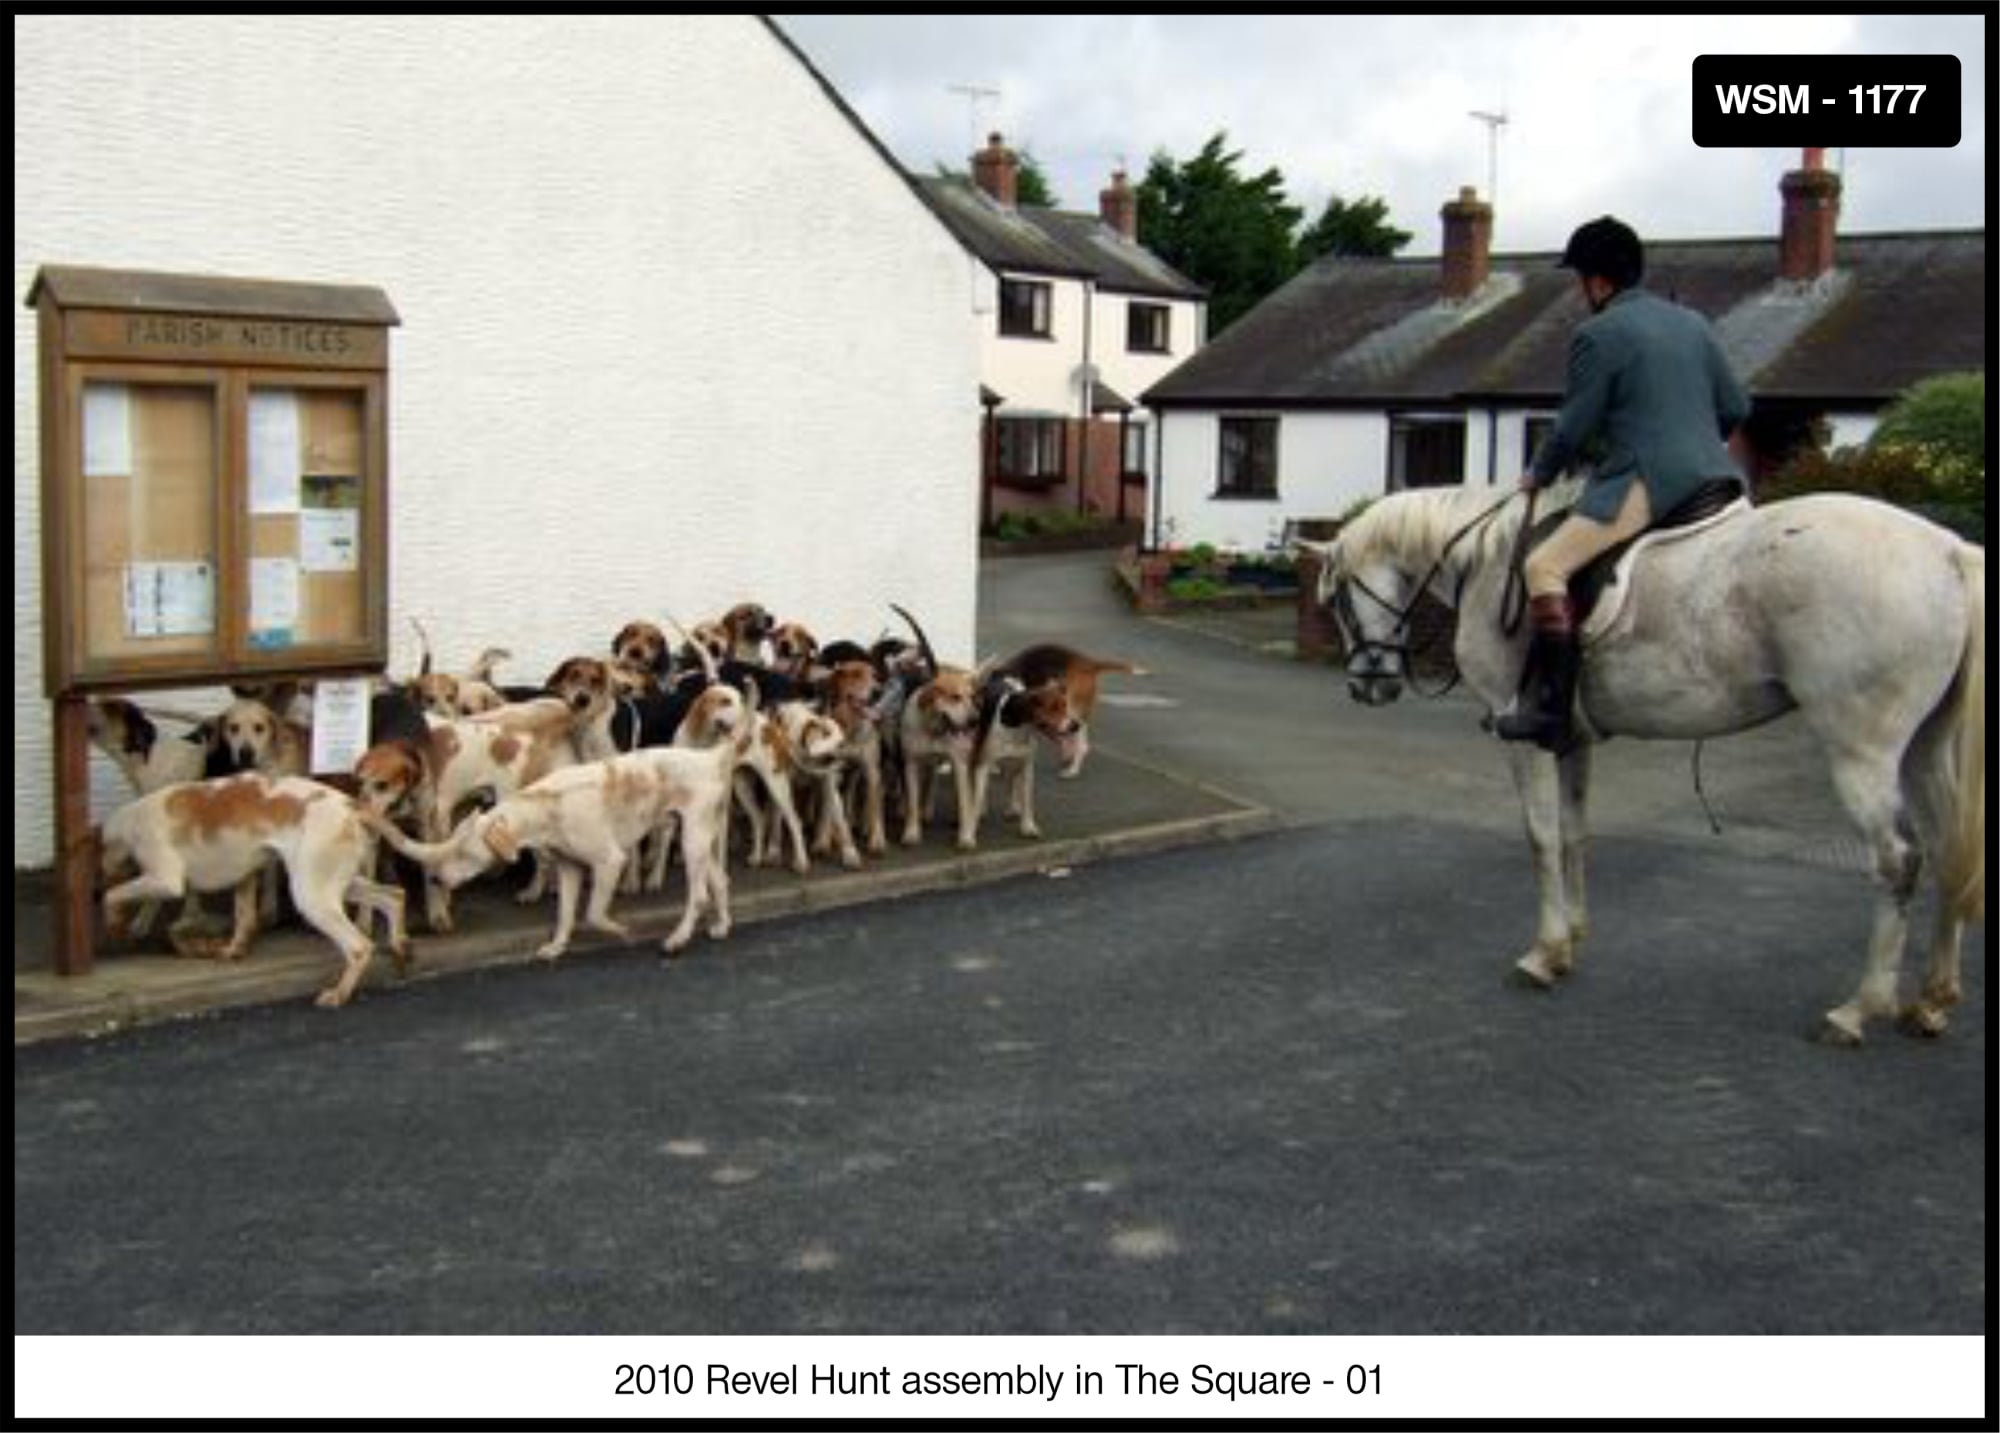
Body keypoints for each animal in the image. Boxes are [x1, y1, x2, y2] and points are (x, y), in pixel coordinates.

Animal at [1312, 482, 1984, 1040]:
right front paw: (1572, 941)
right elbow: (1575, 833)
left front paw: (1543, 953)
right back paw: (1932, 1001)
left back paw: (1859, 1009)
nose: (1368, 686)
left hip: (1861, 752)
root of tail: (1948, 551)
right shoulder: (1572, 739)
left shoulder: (1521, 738)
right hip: (1924, 749)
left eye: (1338, 598)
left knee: (1899, 860)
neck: (1489, 559)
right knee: (1947, 850)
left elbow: (1541, 837)